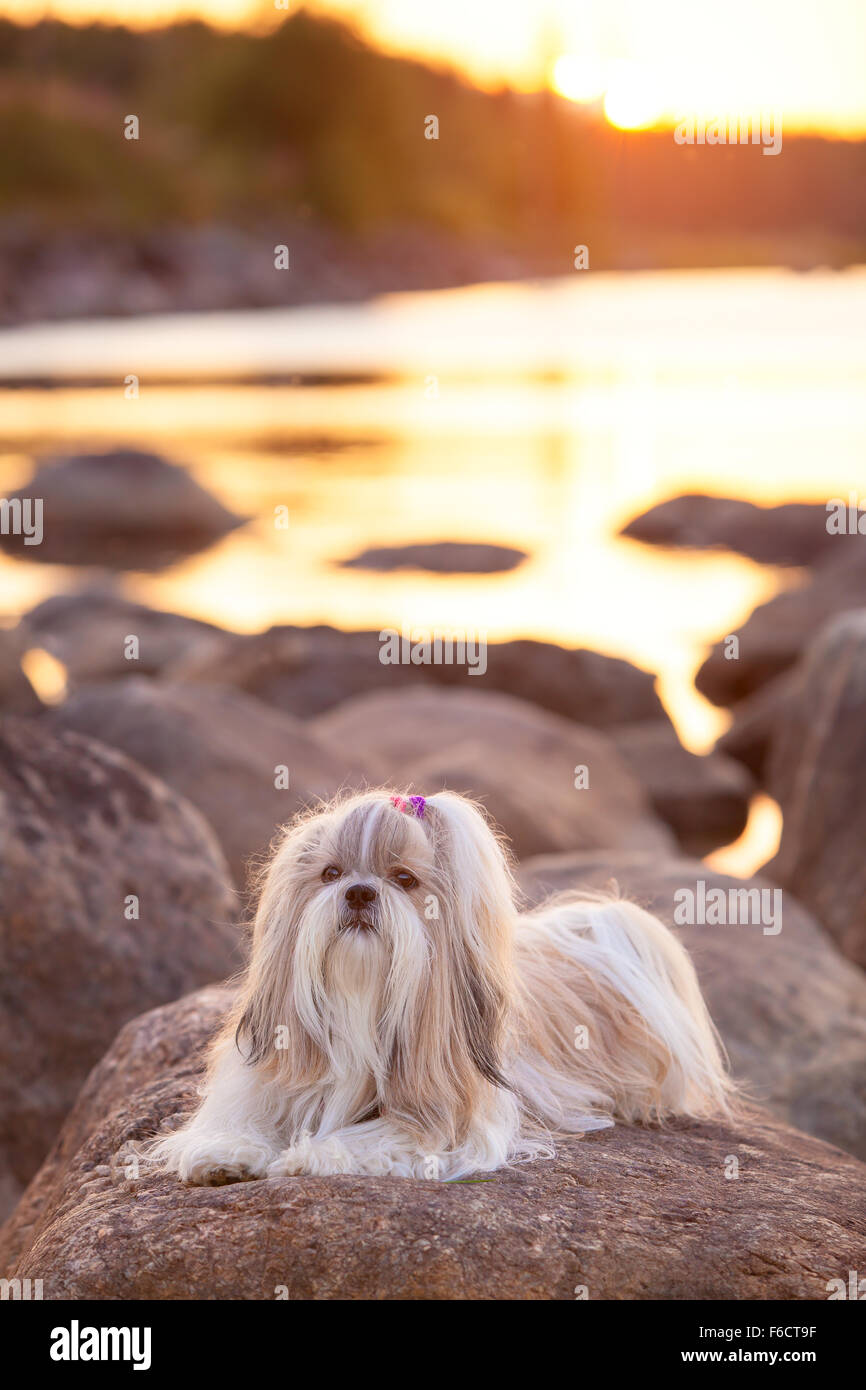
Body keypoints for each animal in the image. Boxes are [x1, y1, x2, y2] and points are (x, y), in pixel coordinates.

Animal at [154, 789, 733, 1178]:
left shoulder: (454, 1115)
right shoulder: (266, 1074)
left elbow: (391, 1135)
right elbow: (241, 1117)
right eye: (331, 874)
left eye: (404, 880)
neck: (362, 1000)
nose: (360, 893)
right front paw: (227, 1152)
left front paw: (315, 1153)